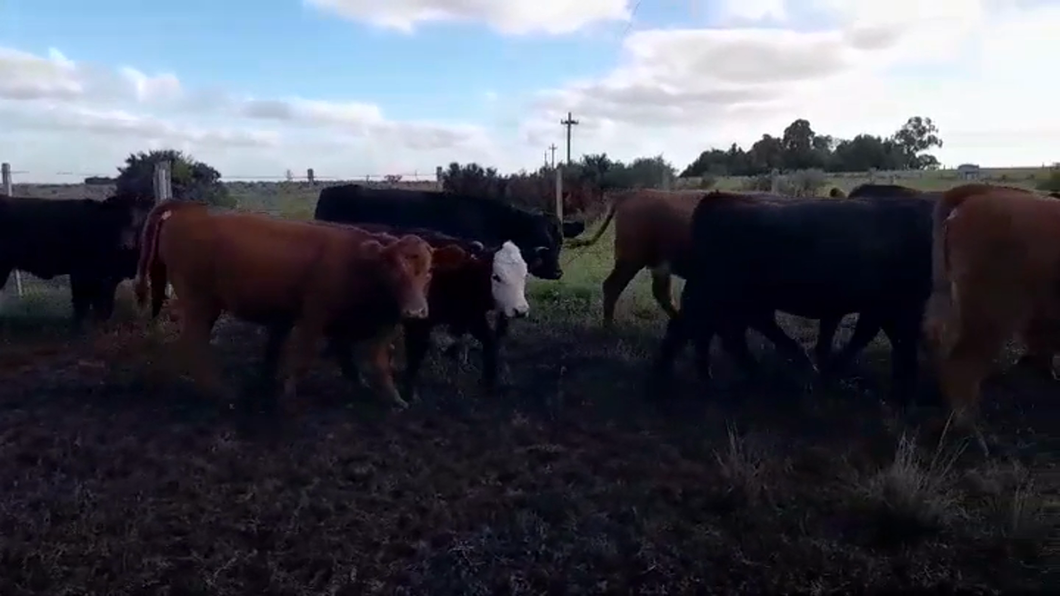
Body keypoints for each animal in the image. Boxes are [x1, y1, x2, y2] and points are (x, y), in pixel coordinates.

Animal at [0, 193, 153, 328]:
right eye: (113, 222)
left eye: (136, 223)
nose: (123, 245)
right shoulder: (82, 274)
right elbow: (82, 304)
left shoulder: (108, 278)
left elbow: (104, 304)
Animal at [130, 199, 462, 407]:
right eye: (393, 268)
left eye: (429, 270)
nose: (415, 311)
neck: (360, 264)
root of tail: (187, 208)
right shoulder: (313, 316)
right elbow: (303, 359)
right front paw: (287, 395)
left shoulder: (378, 327)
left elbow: (378, 365)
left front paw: (394, 399)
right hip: (200, 302)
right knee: (194, 344)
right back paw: (219, 392)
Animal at [652, 187, 937, 396]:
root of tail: (719, 198)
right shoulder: (889, 306)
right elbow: (885, 339)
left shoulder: (890, 307)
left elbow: (897, 341)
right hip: (715, 295)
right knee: (696, 330)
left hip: (724, 298)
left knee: (718, 333)